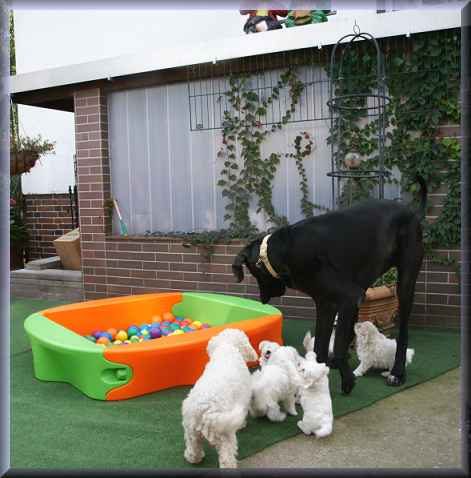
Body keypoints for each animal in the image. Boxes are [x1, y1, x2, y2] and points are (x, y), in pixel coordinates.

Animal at [183, 328, 258, 466]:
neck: (227, 347)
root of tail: (206, 411)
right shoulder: (244, 397)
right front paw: (242, 424)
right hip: (225, 434)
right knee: (226, 459)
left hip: (191, 429)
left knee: (193, 446)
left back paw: (193, 458)